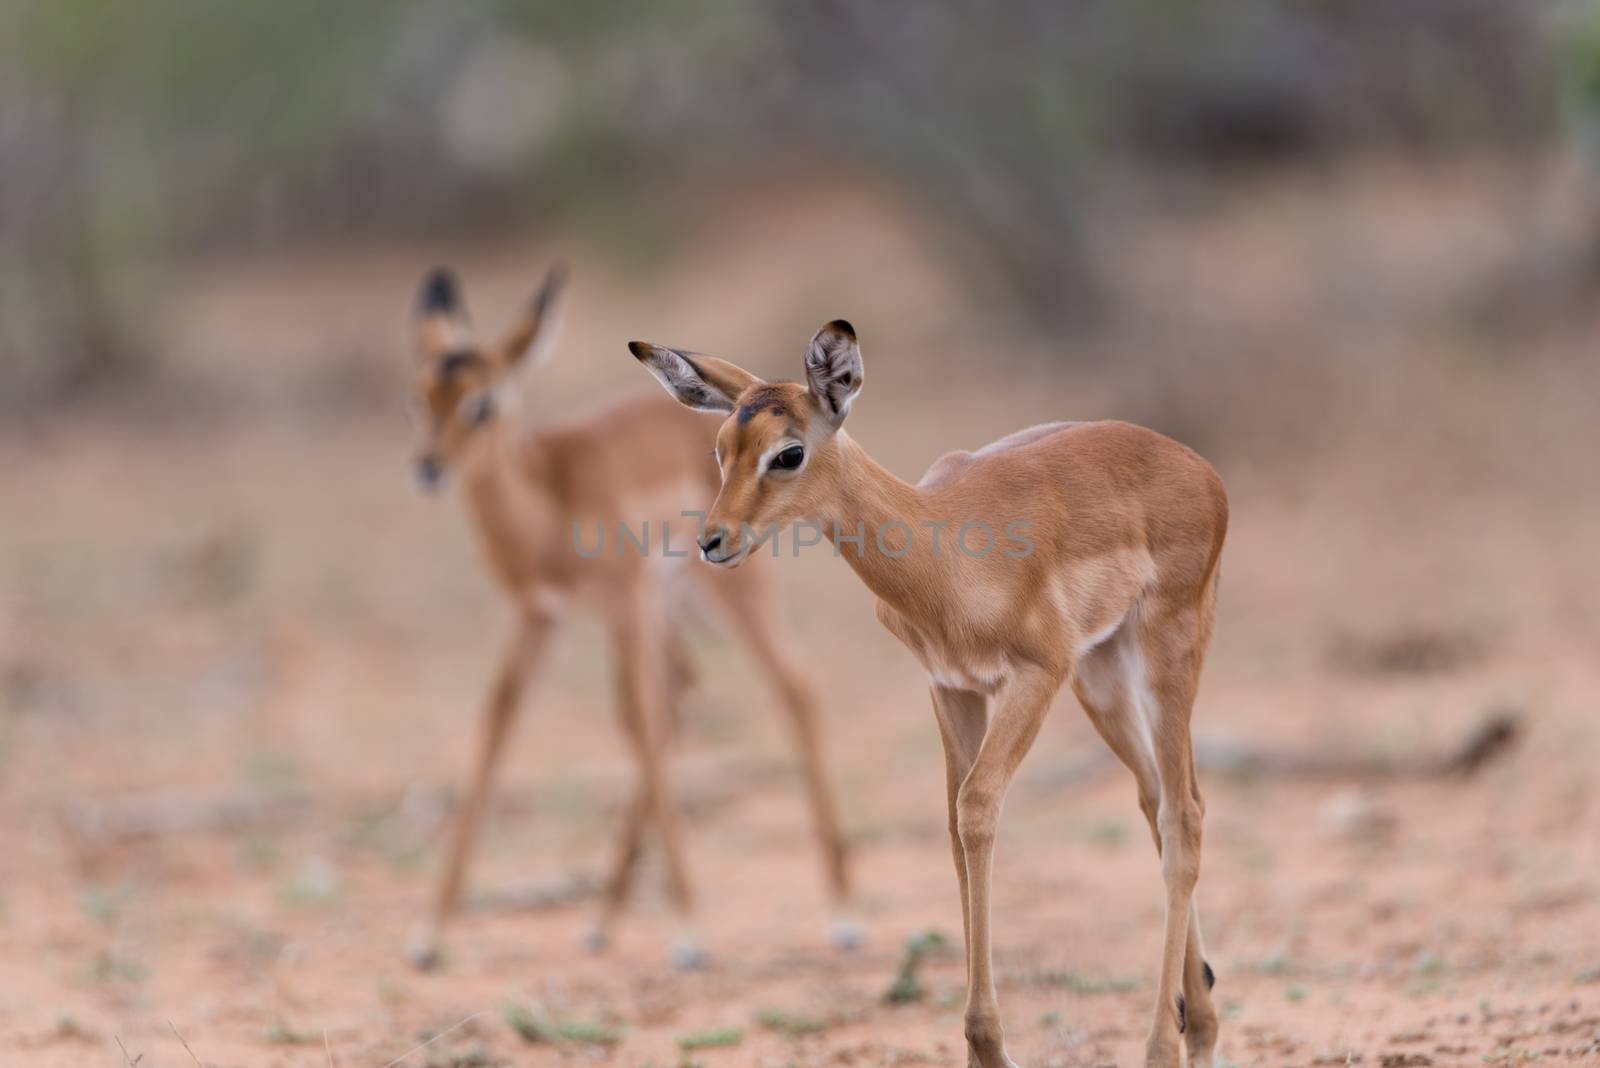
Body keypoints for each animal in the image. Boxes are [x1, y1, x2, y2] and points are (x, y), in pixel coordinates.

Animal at [406, 267, 857, 965]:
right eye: (420, 395)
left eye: (482, 403)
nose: (429, 467)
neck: (548, 494)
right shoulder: (536, 616)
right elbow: (497, 725)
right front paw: (430, 934)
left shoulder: (619, 602)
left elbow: (633, 720)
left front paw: (691, 930)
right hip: (671, 605)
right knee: (681, 692)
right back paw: (601, 919)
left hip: (724, 590)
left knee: (792, 689)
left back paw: (840, 915)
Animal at [630, 326, 1228, 1068]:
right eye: (721, 447)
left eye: (788, 452)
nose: (714, 541)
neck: (947, 551)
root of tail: (1201, 470)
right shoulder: (951, 689)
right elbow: (952, 825)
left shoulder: (1036, 676)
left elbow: (977, 810)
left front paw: (991, 1046)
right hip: (1103, 674)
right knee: (1154, 800)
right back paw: (1200, 1021)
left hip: (1167, 648)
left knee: (1185, 813)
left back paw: (1165, 1044)